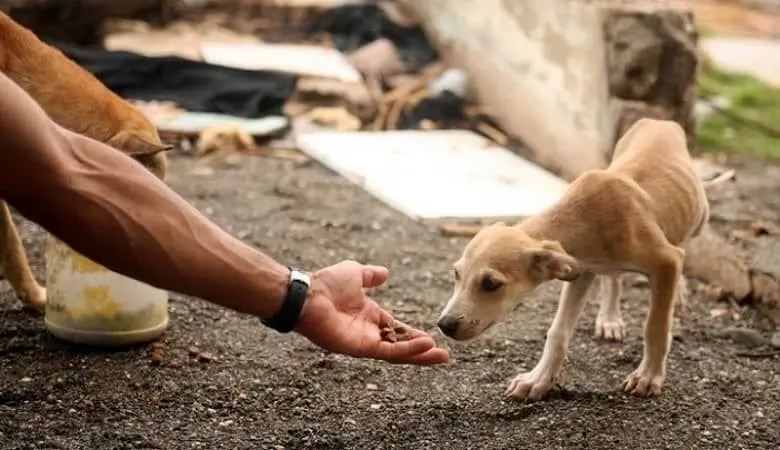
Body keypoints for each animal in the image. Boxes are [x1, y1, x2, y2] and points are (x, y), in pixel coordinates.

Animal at [436, 118, 728, 400]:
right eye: (456, 274)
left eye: (491, 284)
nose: (445, 325)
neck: (583, 216)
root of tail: (660, 120)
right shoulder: (581, 271)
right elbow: (557, 333)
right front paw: (537, 380)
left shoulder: (666, 261)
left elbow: (655, 327)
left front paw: (648, 376)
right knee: (614, 279)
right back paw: (610, 319)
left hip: (699, 217)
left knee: (683, 243)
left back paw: (677, 293)